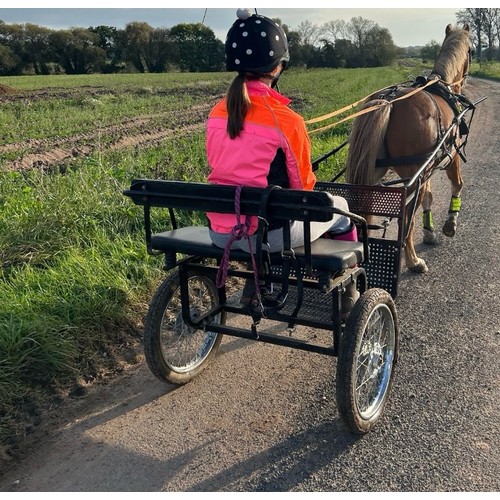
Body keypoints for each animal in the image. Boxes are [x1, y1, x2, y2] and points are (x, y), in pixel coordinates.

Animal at [344, 23, 472, 274]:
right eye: (472, 50)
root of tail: (387, 101)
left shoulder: (428, 167)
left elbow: (429, 196)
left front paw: (430, 231)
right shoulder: (451, 156)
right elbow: (457, 184)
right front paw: (450, 224)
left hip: (376, 172)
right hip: (412, 178)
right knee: (406, 221)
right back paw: (413, 261)